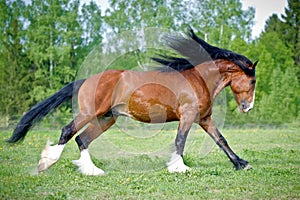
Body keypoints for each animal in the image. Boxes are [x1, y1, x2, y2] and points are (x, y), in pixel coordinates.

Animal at [7, 28, 258, 176]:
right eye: (253, 81)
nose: (248, 107)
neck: (200, 80)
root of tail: (86, 79)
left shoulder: (204, 119)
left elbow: (221, 140)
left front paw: (241, 163)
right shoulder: (187, 117)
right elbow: (180, 141)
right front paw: (179, 168)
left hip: (106, 118)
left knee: (82, 139)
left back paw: (93, 171)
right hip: (90, 113)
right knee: (68, 131)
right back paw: (46, 162)